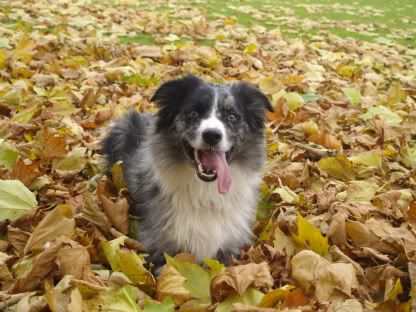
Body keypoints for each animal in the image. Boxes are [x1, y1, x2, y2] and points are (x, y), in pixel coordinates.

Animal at [102, 74, 272, 266]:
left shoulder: (230, 247)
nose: (212, 135)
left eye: (232, 116)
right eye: (193, 113)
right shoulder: (161, 247)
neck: (205, 191)